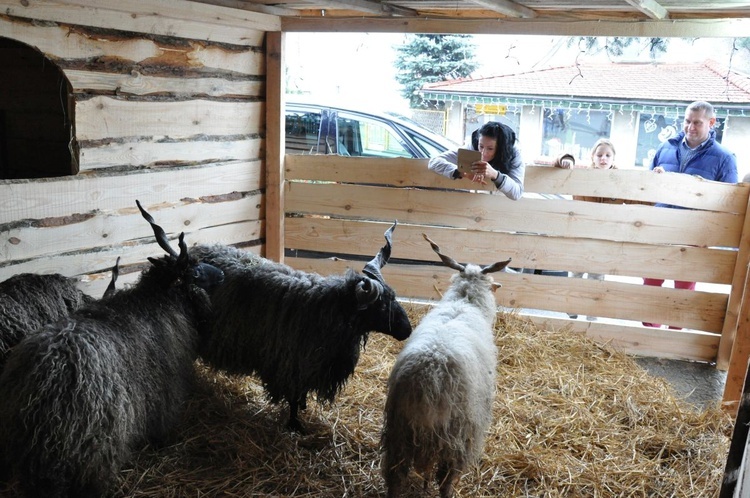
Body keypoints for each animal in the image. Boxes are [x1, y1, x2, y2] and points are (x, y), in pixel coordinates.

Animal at [0, 200, 223, 496]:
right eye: (195, 272)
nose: (221, 274)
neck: (157, 301)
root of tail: (48, 375)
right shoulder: (165, 392)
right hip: (97, 446)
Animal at [194, 222, 414, 432]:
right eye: (382, 305)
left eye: (393, 297)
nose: (408, 330)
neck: (325, 307)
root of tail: (196, 249)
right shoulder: (291, 365)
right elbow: (293, 398)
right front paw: (295, 425)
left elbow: (300, 395)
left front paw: (302, 408)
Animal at [382, 235, 512, 498]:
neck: (465, 301)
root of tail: (428, 377)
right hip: (456, 435)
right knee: (445, 479)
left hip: (399, 433)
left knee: (395, 475)